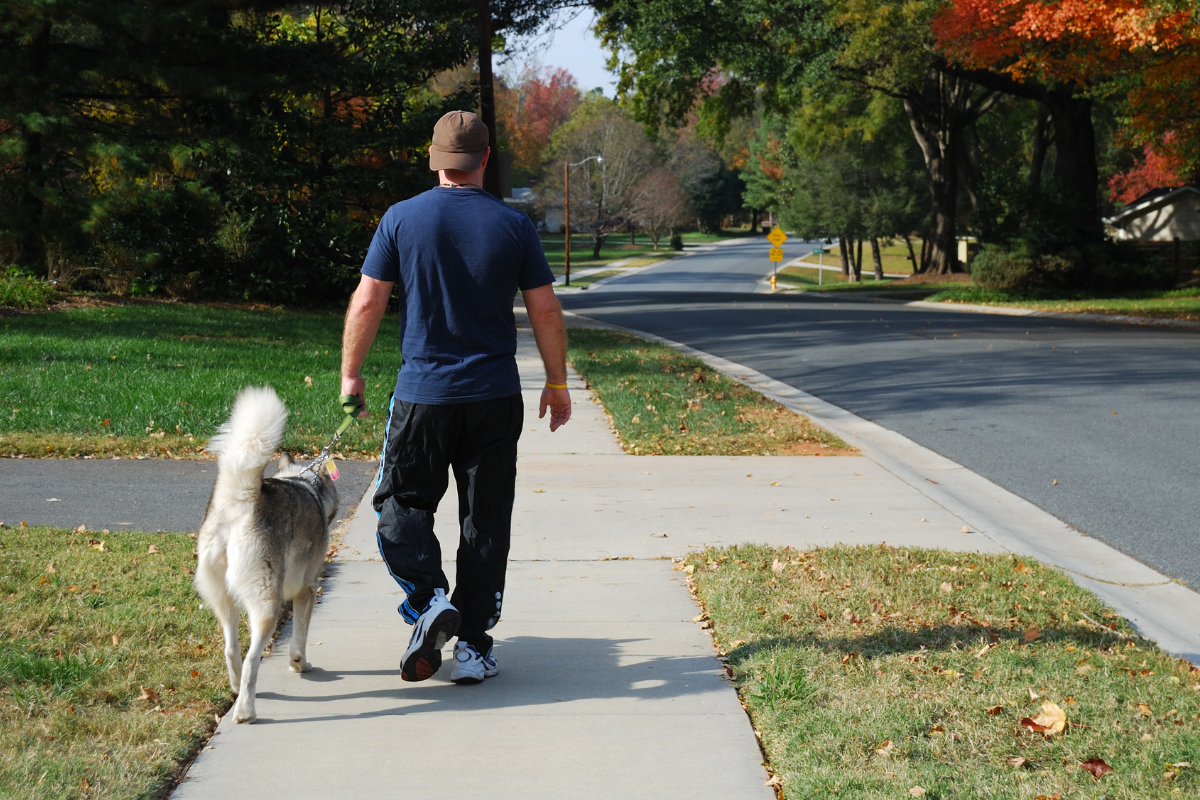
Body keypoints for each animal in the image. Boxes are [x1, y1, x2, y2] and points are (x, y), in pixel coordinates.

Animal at [195, 388, 338, 724]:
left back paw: (236, 689)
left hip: (224, 598)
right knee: (251, 657)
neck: (305, 482)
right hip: (267, 603)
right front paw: (300, 664)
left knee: (231, 649)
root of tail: (244, 500)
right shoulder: (307, 589)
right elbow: (300, 637)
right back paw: (246, 710)